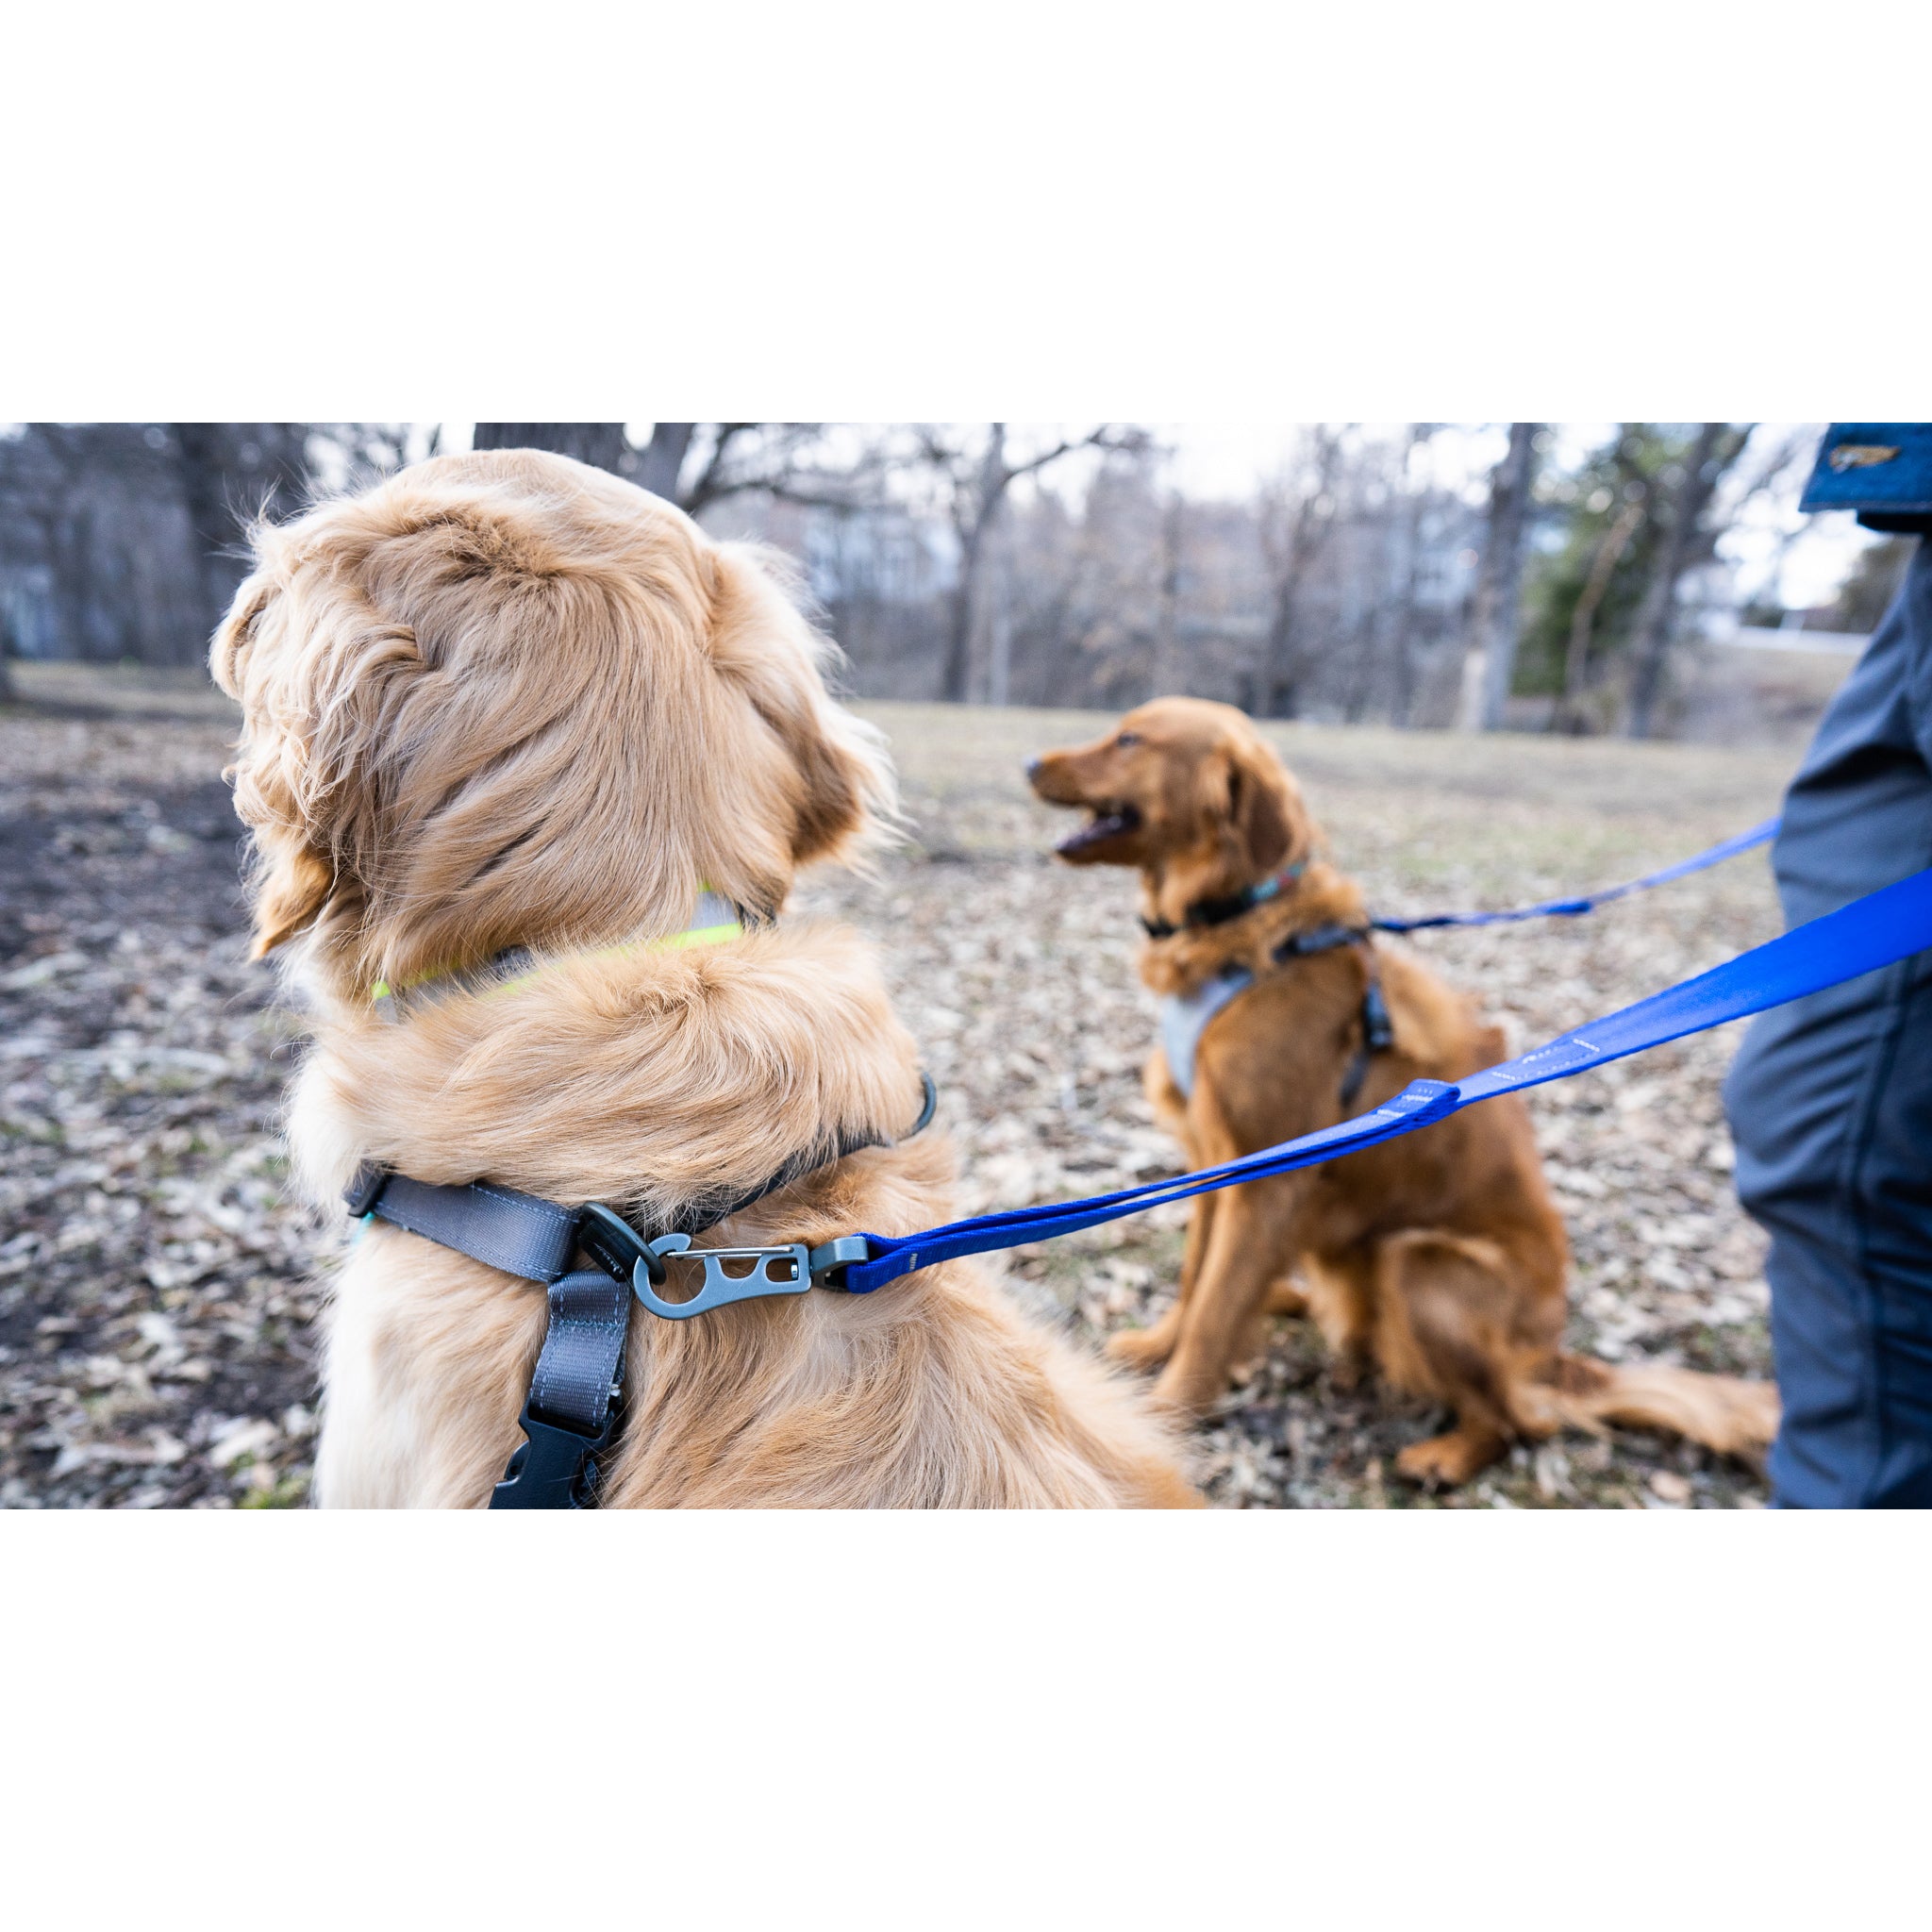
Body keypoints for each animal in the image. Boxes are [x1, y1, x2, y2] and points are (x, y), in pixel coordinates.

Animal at [1035, 703, 1769, 1483]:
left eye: (1130, 739)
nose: (1027, 762)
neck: (1242, 931)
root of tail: (1551, 1359)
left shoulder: (1267, 1184)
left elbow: (1214, 1311)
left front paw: (1169, 1414)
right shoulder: (1215, 1165)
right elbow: (1196, 1279)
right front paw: (1158, 1345)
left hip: (1420, 1265)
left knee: (1519, 1419)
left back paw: (1449, 1453)